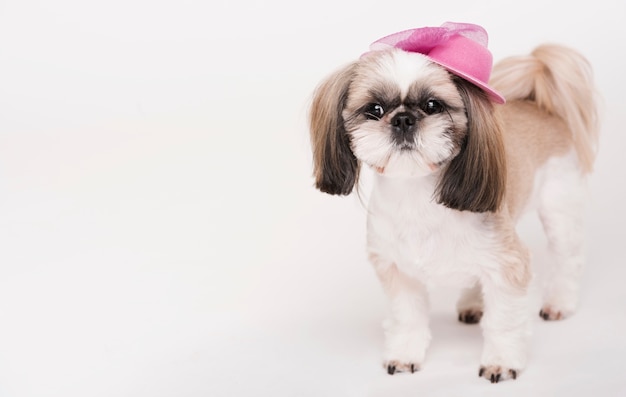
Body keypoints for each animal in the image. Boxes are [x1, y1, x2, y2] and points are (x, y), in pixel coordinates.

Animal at [308, 21, 596, 380]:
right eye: (374, 109)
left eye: (433, 105)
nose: (403, 119)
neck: (417, 198)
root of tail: (538, 104)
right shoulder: (397, 270)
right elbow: (407, 318)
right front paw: (404, 355)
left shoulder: (509, 265)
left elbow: (504, 321)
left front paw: (501, 361)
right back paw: (473, 304)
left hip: (559, 206)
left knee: (568, 256)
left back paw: (559, 302)